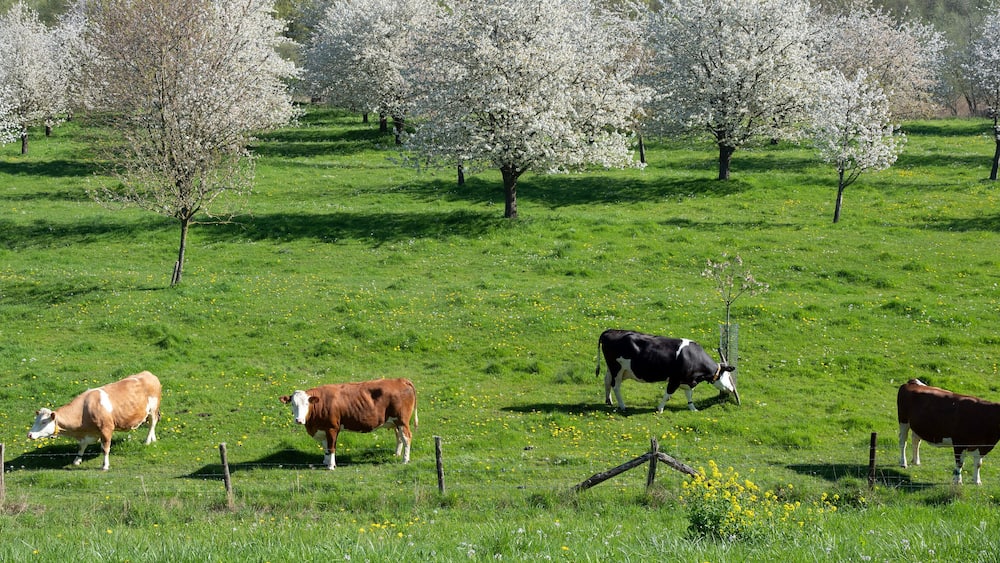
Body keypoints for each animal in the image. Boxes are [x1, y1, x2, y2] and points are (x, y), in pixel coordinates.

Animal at [27, 371, 161, 471]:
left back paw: (147, 441)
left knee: (152, 424)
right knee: (152, 425)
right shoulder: (86, 434)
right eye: (35, 421)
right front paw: (77, 460)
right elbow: (81, 446)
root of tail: (149, 374)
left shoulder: (106, 429)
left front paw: (105, 466)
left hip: (153, 409)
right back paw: (153, 439)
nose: (29, 434)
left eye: (44, 422)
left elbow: (105, 448)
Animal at [280, 378, 417, 469]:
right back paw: (397, 454)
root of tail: (401, 380)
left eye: (306, 404)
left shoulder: (332, 428)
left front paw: (331, 465)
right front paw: (325, 461)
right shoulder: (323, 429)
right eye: (293, 404)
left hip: (402, 420)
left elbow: (331, 447)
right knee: (399, 437)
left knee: (407, 437)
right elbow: (325, 447)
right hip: (395, 422)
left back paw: (405, 460)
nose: (299, 420)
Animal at [596, 329, 739, 413]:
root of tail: (610, 331)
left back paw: (609, 401)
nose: (732, 389)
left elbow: (689, 395)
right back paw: (622, 406)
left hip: (613, 369)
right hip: (617, 369)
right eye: (728, 376)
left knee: (607, 380)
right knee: (616, 386)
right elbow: (667, 394)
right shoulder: (675, 379)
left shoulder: (688, 381)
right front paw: (660, 408)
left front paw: (693, 408)